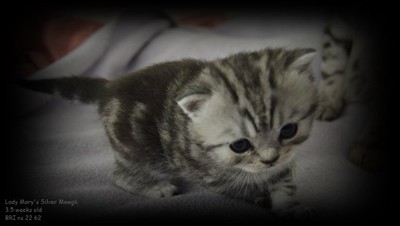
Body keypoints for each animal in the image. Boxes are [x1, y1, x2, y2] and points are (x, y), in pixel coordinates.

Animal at [19, 48, 318, 219]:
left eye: (289, 130)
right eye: (240, 145)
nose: (269, 159)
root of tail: (110, 87)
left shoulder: (284, 161)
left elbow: (283, 181)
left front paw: (288, 206)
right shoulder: (209, 175)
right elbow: (239, 188)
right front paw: (261, 199)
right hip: (138, 150)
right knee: (117, 175)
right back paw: (154, 187)